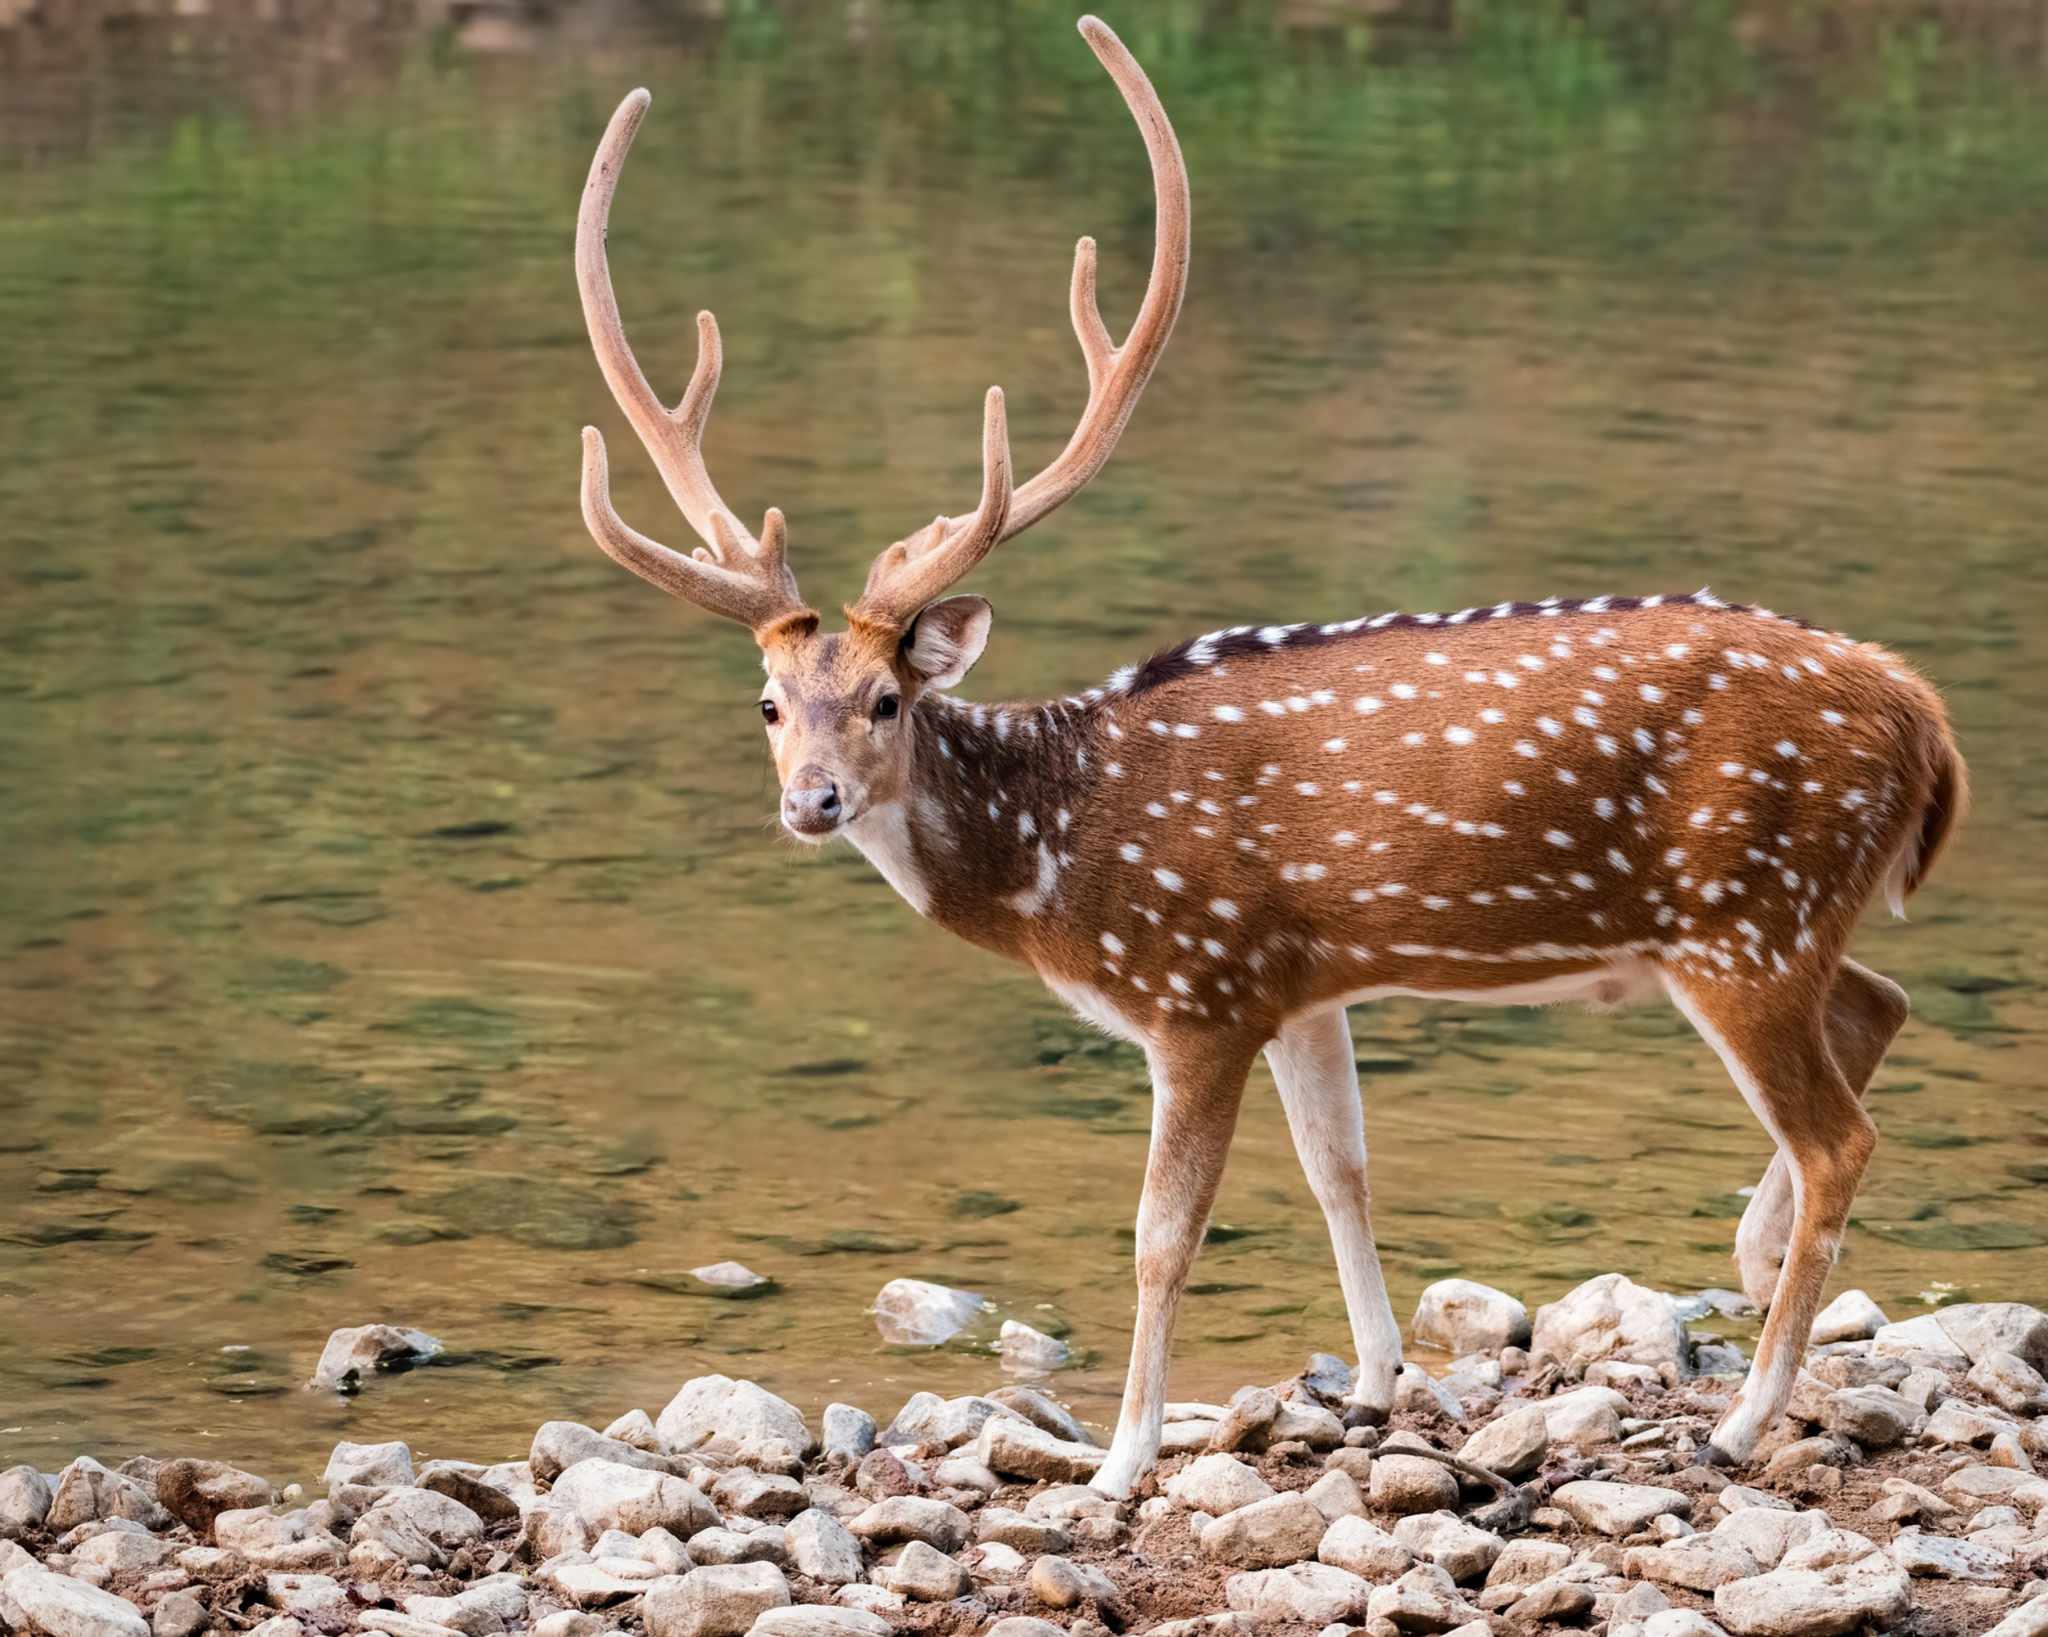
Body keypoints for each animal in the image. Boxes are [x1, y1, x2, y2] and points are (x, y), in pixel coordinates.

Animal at [573, 16, 1966, 1499]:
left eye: (887, 698)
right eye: (770, 703)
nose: (813, 801)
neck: (1063, 857)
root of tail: (1926, 717)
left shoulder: (1200, 987)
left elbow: (1160, 1230)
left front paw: (1121, 1459)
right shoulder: (1303, 982)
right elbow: (1338, 1167)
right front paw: (1372, 1381)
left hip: (1743, 918)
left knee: (1841, 1134)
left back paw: (1746, 1415)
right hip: (1774, 921)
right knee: (1880, 1004)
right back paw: (1751, 1265)